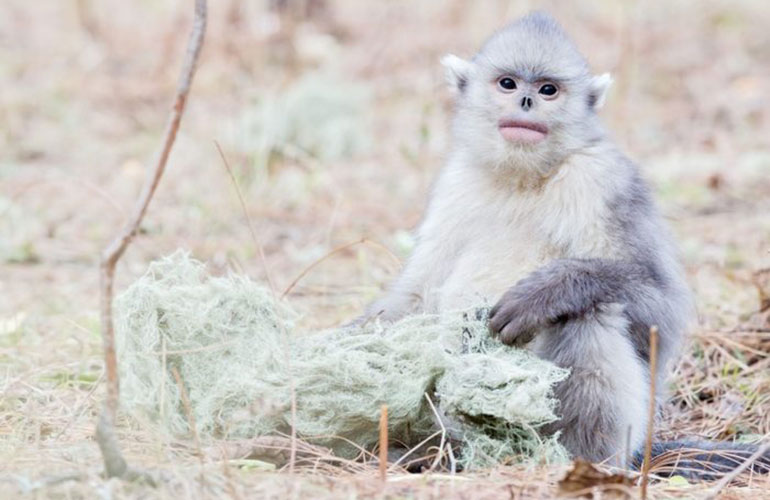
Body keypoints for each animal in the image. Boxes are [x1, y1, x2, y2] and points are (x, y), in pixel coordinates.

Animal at [362, 12, 770, 477]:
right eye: (508, 84)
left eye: (548, 90)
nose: (526, 102)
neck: (523, 178)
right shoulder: (455, 183)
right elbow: (416, 296)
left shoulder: (604, 178)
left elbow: (662, 307)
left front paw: (544, 293)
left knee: (588, 314)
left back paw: (569, 460)